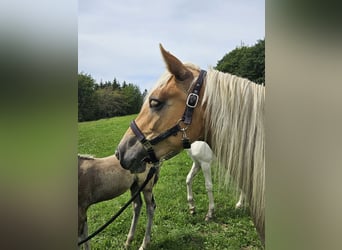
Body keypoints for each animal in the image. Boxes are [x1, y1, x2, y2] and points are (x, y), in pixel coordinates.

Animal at [116, 44, 266, 244]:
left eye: (155, 102)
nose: (120, 152)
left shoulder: (206, 164)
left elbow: (209, 186)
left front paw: (210, 213)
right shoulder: (197, 163)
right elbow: (188, 180)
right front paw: (192, 207)